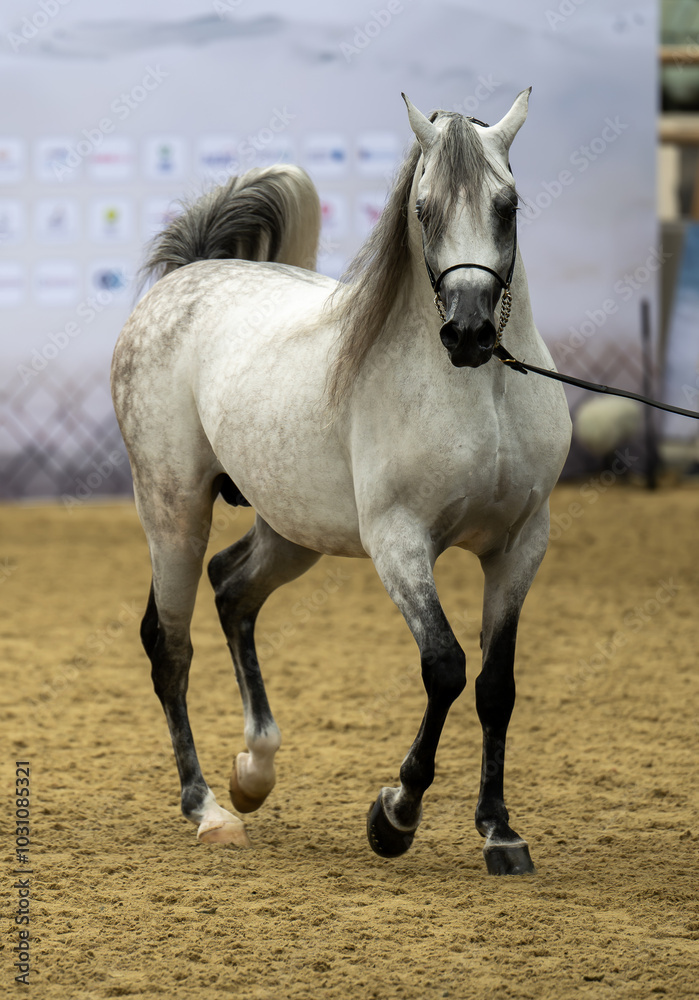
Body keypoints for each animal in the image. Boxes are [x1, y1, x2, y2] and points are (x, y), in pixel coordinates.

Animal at [111, 89, 571, 875]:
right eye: (423, 210)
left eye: (507, 205)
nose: (469, 333)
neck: (482, 395)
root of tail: (191, 274)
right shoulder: (400, 542)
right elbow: (446, 668)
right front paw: (394, 816)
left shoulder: (519, 544)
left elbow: (496, 686)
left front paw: (499, 831)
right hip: (172, 510)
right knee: (169, 644)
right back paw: (208, 810)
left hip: (293, 528)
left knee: (233, 589)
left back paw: (255, 771)